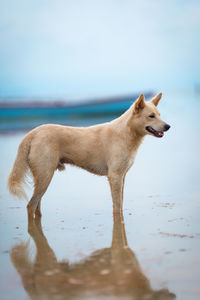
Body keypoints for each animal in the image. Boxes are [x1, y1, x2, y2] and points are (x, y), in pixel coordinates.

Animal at [7, 92, 170, 219]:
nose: (168, 126)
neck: (126, 132)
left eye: (159, 115)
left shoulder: (122, 176)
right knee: (30, 205)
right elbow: (117, 206)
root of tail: (33, 133)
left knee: (36, 206)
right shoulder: (115, 177)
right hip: (45, 175)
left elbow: (121, 202)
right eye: (151, 116)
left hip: (42, 178)